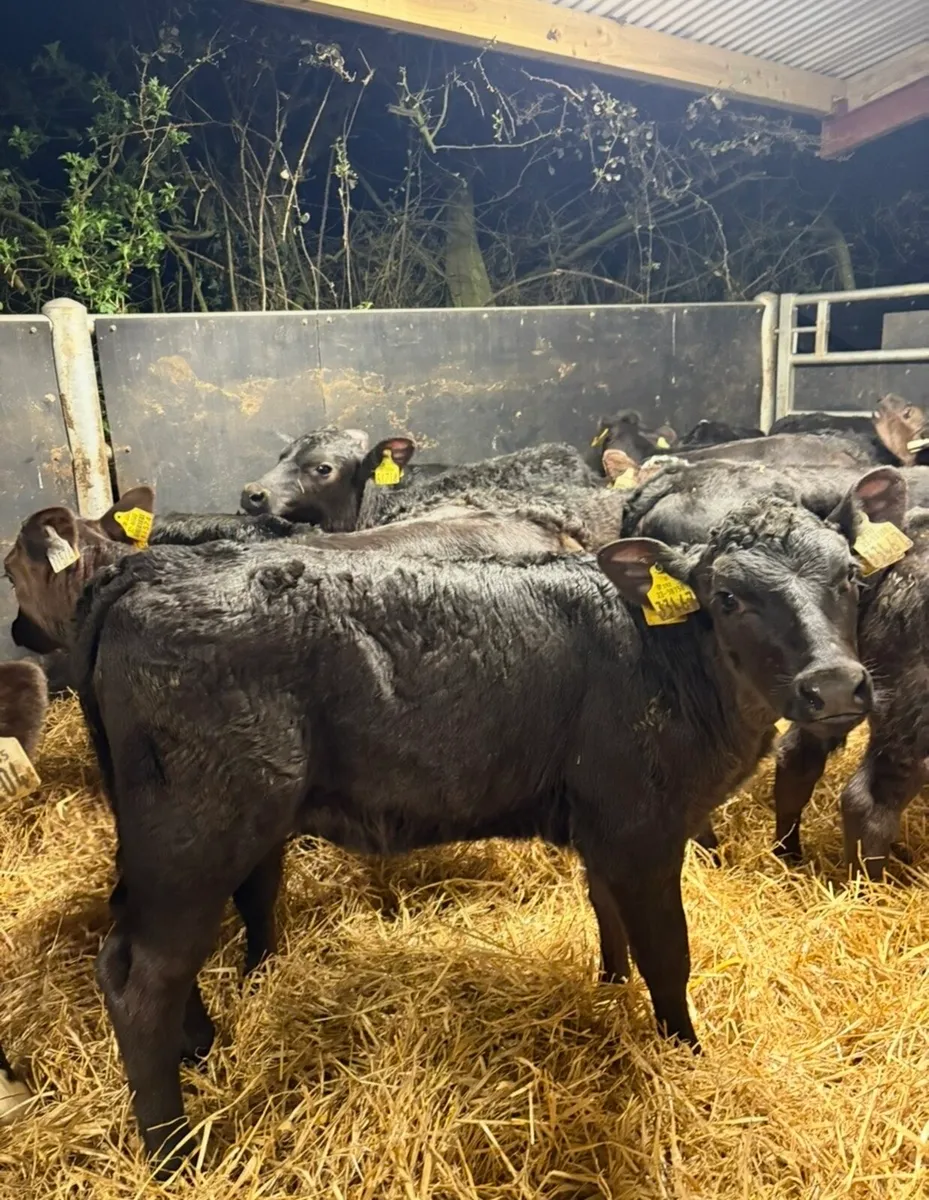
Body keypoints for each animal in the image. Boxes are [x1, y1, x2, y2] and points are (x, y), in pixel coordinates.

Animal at [67, 474, 888, 1176]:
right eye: (729, 595)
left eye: (849, 575)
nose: (833, 685)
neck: (672, 663)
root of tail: (154, 570)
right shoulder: (644, 828)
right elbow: (668, 954)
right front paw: (682, 1052)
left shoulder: (602, 823)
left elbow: (606, 913)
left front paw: (608, 987)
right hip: (199, 832)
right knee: (143, 977)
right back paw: (174, 1153)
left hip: (156, 839)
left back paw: (201, 1051)